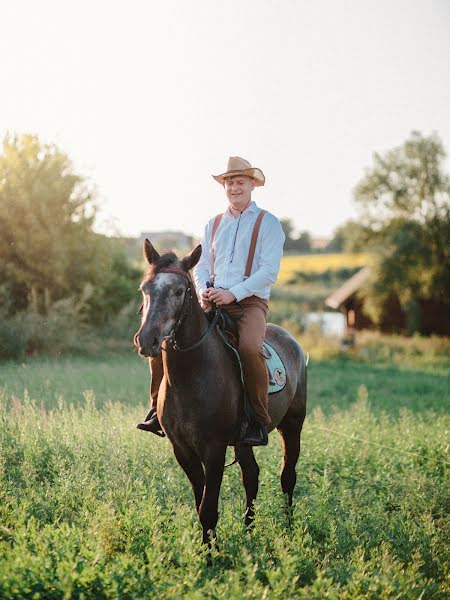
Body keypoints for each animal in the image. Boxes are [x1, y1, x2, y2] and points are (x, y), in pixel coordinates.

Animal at [133, 240, 306, 548]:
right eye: (145, 288)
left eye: (179, 291)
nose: (147, 340)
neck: (191, 376)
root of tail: (291, 339)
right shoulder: (182, 450)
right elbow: (200, 501)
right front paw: (208, 546)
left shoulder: (214, 450)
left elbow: (208, 508)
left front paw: (212, 554)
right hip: (244, 440)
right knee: (251, 475)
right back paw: (249, 529)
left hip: (292, 425)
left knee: (288, 476)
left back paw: (287, 529)